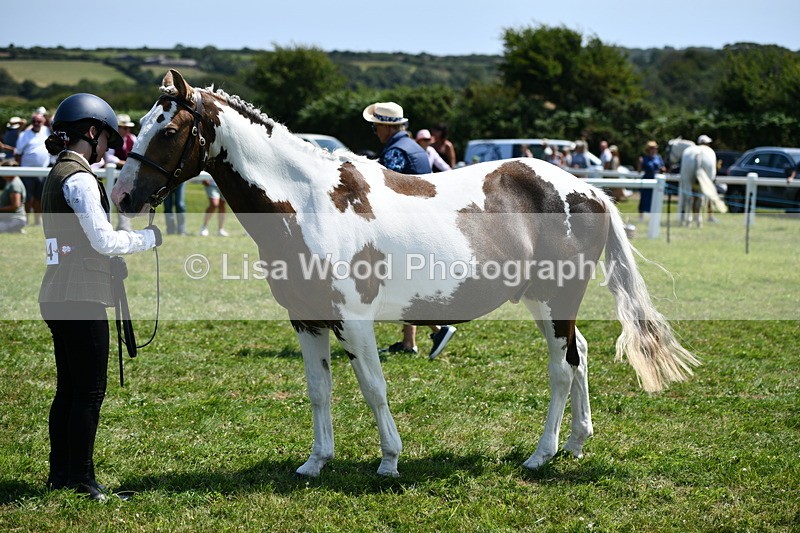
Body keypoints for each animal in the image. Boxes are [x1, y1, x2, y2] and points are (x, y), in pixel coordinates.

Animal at [111, 70, 699, 478]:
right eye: (139, 128)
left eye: (169, 128)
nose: (121, 196)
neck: (307, 202)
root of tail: (588, 189)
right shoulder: (306, 320)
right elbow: (318, 391)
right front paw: (315, 462)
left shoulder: (354, 320)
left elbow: (373, 387)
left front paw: (389, 461)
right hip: (545, 302)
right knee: (580, 357)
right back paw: (575, 443)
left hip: (555, 301)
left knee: (560, 369)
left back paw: (541, 454)